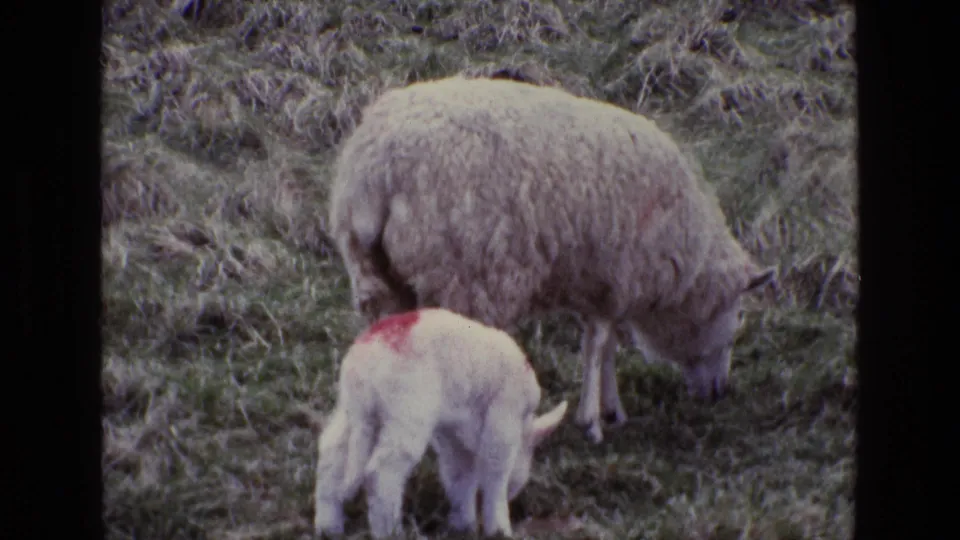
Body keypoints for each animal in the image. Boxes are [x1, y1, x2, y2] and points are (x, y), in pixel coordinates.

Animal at [313, 307, 569, 538]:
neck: (524, 425)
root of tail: (363, 364)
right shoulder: (504, 416)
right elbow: (495, 470)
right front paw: (499, 529)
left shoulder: (452, 432)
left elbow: (458, 474)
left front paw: (463, 525)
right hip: (407, 412)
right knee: (381, 471)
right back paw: (390, 532)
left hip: (353, 411)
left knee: (331, 452)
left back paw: (329, 526)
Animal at [327, 75, 775, 444]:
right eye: (737, 318)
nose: (719, 392)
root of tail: (379, 169)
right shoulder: (619, 273)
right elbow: (599, 343)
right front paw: (592, 420)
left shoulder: (596, 279)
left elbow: (605, 343)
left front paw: (610, 409)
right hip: (465, 277)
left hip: (375, 274)